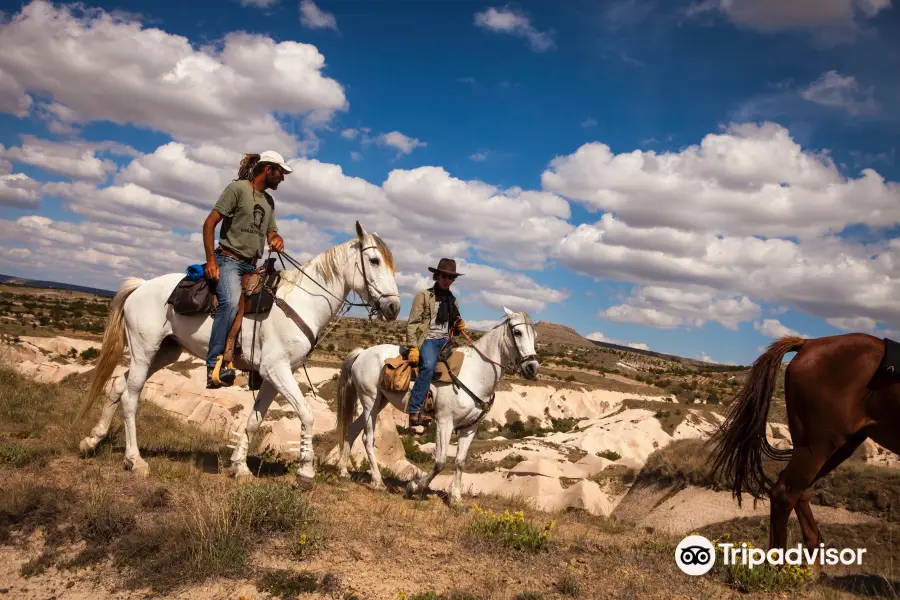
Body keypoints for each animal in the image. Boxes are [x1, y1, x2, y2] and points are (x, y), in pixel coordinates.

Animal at [75, 220, 400, 488]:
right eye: (374, 260)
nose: (394, 307)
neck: (302, 301)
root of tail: (141, 287)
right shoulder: (276, 370)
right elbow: (306, 414)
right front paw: (305, 473)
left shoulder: (272, 377)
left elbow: (254, 420)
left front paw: (239, 467)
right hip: (145, 350)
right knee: (132, 396)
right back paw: (135, 460)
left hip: (165, 353)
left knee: (119, 385)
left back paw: (92, 440)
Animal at [334, 308, 536, 504]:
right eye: (517, 332)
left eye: (534, 335)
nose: (532, 368)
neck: (475, 373)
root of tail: (362, 354)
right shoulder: (445, 423)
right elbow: (440, 462)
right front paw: (414, 487)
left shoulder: (470, 427)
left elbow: (460, 461)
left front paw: (455, 498)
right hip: (370, 401)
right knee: (367, 439)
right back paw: (378, 481)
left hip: (380, 402)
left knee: (352, 429)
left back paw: (343, 470)